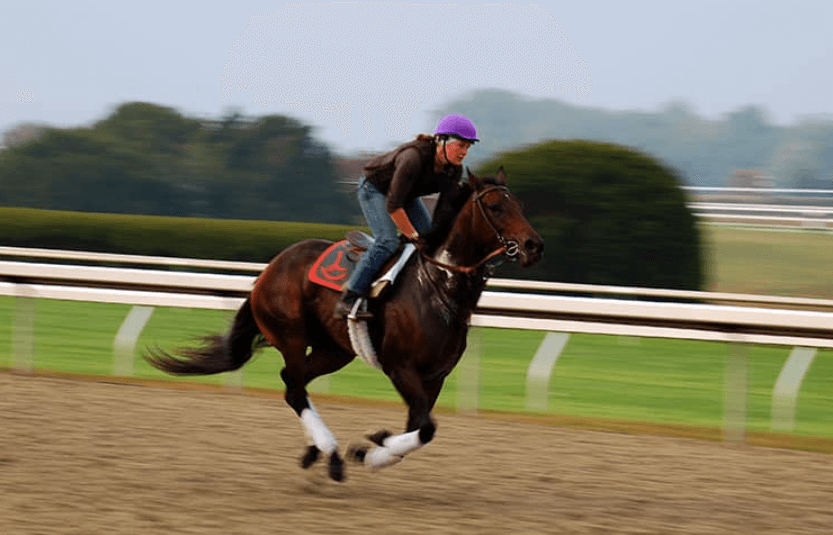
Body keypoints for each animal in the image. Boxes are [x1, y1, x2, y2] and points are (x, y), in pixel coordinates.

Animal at [144, 168, 543, 481]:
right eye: (496, 207)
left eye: (521, 206)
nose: (533, 245)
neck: (438, 286)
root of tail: (269, 269)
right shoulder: (401, 368)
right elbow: (426, 428)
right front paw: (371, 448)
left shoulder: (435, 377)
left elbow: (418, 427)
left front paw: (374, 446)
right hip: (290, 334)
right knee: (294, 389)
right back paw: (332, 454)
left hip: (333, 350)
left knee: (293, 382)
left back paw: (316, 452)